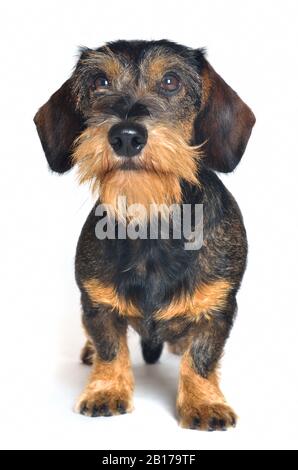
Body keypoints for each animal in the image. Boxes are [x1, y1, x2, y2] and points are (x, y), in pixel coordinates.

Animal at [33, 39, 255, 430]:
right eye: (99, 82)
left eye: (170, 81)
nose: (126, 136)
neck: (152, 224)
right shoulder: (97, 303)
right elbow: (110, 349)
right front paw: (106, 390)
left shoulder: (218, 309)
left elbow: (201, 358)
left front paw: (204, 403)